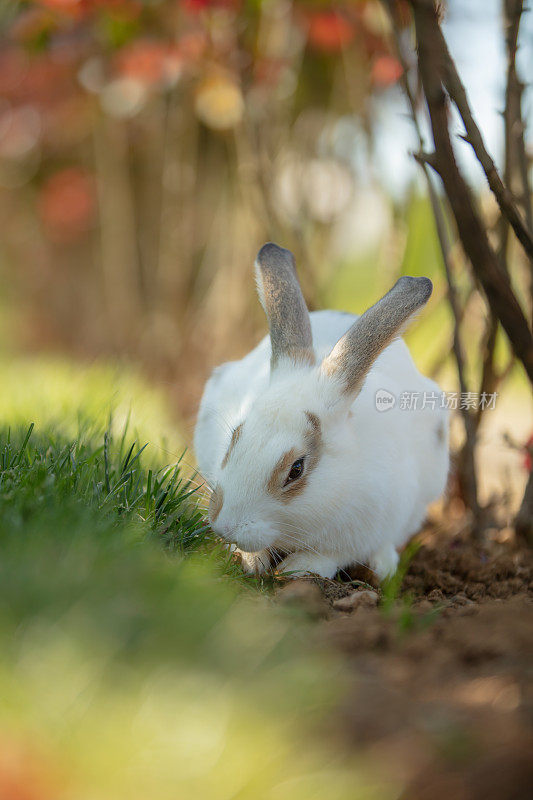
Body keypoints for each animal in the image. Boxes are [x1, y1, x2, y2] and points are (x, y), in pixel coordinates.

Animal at [193, 244, 446, 580]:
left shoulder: (362, 531)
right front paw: (251, 560)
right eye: (235, 438)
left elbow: (331, 556)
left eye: (296, 469)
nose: (225, 527)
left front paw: (296, 569)